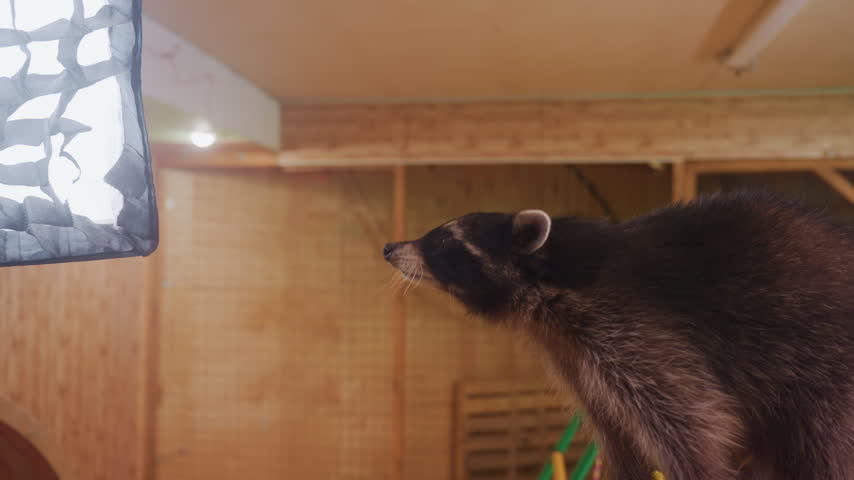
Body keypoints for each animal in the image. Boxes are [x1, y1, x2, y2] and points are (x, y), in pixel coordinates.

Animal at [383, 190, 854, 480]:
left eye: (443, 239)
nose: (390, 247)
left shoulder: (634, 327)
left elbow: (696, 423)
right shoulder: (574, 351)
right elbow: (613, 427)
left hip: (827, 367)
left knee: (826, 443)